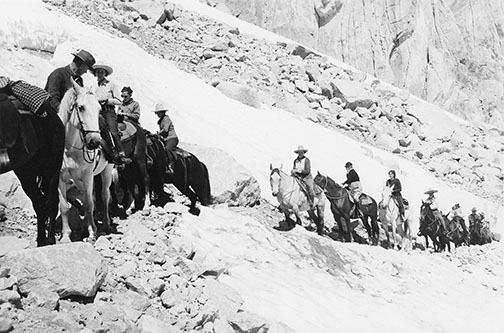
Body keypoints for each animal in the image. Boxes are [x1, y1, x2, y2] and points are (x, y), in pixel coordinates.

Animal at [57, 80, 114, 241]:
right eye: (81, 108)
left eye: (99, 109)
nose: (95, 142)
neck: (70, 150)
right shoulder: (61, 177)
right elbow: (64, 206)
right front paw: (65, 236)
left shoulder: (88, 175)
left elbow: (89, 204)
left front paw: (92, 233)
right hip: (78, 180)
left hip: (106, 171)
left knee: (104, 196)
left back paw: (105, 224)